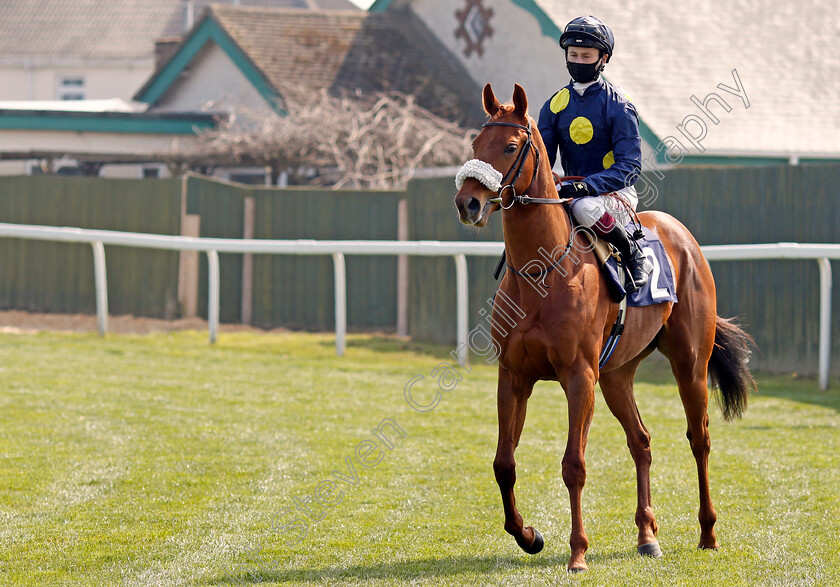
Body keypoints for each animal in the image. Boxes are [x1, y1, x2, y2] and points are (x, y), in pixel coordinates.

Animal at [456, 85, 756, 572]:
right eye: (474, 143)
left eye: (511, 147)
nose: (468, 202)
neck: (542, 273)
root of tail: (681, 234)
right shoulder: (514, 376)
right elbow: (504, 463)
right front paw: (529, 536)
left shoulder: (579, 377)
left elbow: (574, 465)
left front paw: (578, 551)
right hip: (617, 374)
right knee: (641, 441)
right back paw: (647, 535)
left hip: (689, 364)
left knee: (700, 438)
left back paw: (708, 532)